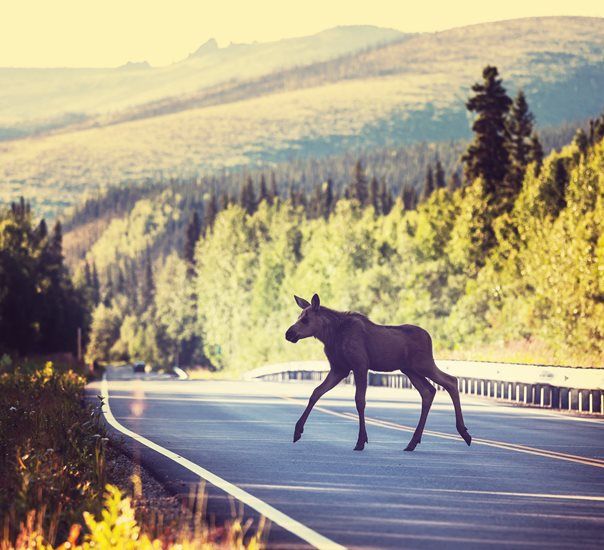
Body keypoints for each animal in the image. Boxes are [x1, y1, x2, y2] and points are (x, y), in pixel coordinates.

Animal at [286, 296, 474, 450]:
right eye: (298, 317)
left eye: (306, 319)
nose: (288, 333)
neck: (330, 336)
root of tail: (429, 338)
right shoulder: (339, 369)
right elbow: (316, 393)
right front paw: (297, 431)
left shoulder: (360, 365)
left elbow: (360, 401)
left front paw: (361, 441)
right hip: (410, 370)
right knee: (428, 391)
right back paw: (413, 442)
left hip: (424, 364)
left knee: (451, 381)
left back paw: (464, 433)